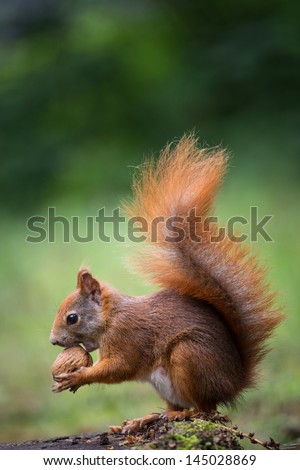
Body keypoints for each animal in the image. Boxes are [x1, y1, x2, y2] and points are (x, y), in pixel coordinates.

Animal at [50, 134, 282, 432]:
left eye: (72, 318)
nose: (53, 341)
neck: (111, 317)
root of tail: (234, 384)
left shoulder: (128, 336)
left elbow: (121, 367)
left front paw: (77, 377)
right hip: (167, 385)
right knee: (180, 407)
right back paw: (145, 419)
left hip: (189, 357)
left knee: (205, 410)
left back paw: (180, 416)